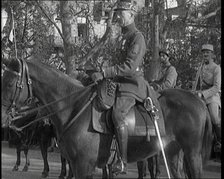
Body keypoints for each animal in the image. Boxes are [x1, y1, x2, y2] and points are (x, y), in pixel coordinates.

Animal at [1, 58, 214, 178]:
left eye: (10, 83)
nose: (3, 117)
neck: (73, 106)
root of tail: (198, 99)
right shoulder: (76, 164)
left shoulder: (84, 165)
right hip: (172, 151)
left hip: (192, 153)